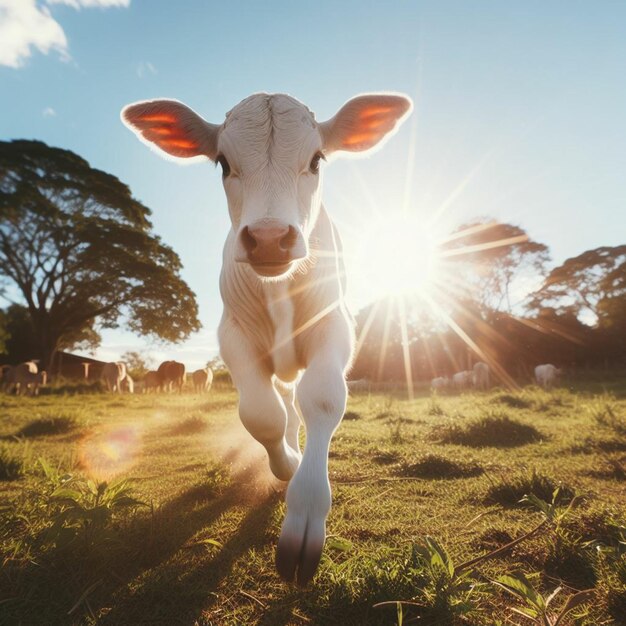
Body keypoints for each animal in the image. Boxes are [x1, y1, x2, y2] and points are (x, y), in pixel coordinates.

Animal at [123, 90, 410, 584]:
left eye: (316, 159)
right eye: (222, 162)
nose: (270, 238)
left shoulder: (334, 326)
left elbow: (322, 399)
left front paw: (306, 512)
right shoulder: (232, 336)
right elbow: (262, 415)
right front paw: (287, 465)